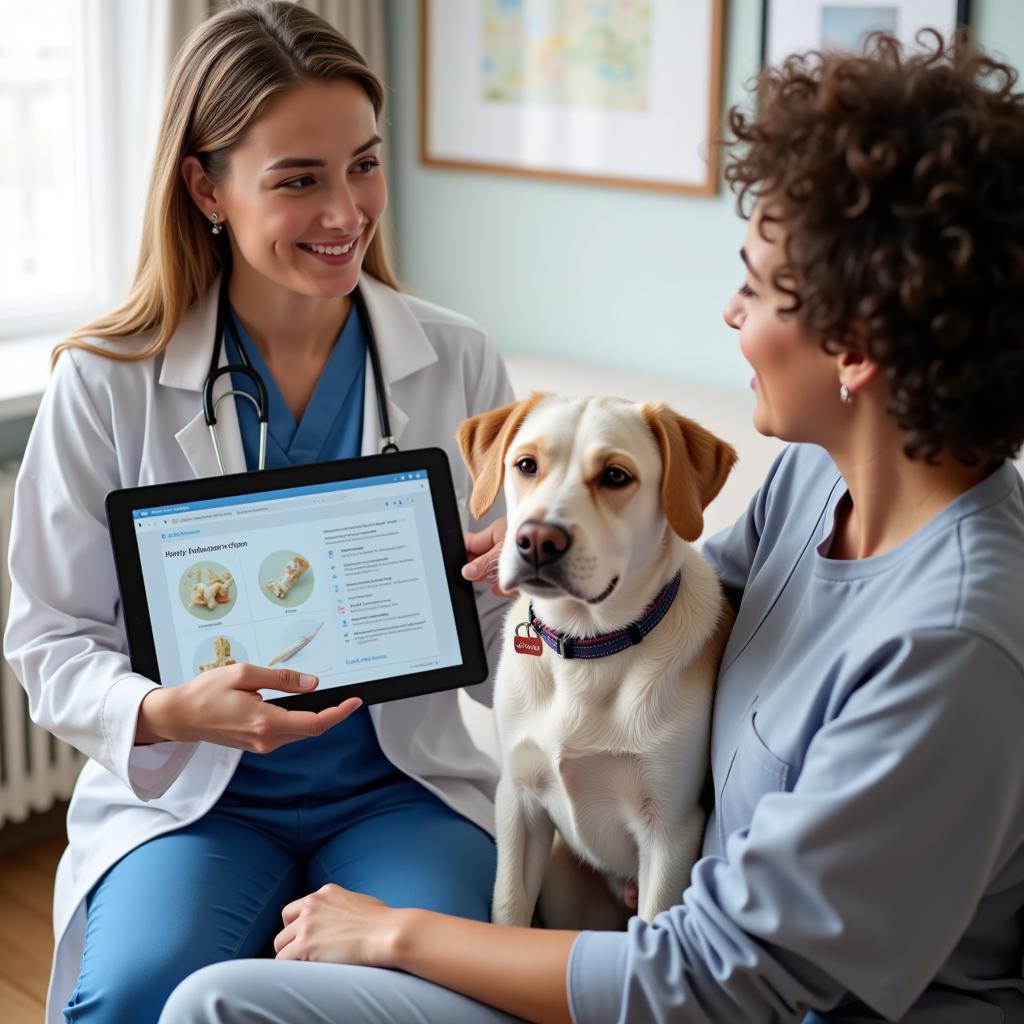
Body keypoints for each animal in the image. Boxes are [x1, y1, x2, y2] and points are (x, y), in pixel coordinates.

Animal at [456, 393, 737, 929]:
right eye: (526, 465)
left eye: (615, 476)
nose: (536, 539)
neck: (587, 648)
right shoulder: (518, 802)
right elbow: (509, 909)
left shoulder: (670, 832)